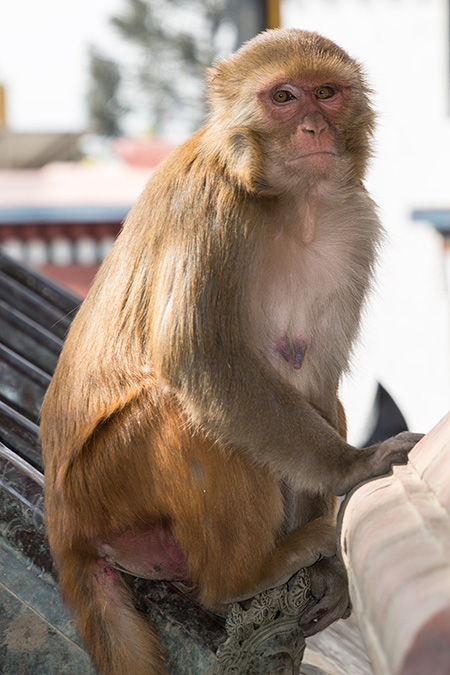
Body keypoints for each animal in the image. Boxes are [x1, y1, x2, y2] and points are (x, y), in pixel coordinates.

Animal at [39, 29, 422, 672]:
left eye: (326, 93)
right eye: (284, 97)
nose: (314, 128)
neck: (291, 202)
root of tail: (62, 522)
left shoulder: (353, 223)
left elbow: (316, 381)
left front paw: (334, 571)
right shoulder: (210, 204)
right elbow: (200, 359)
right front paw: (352, 466)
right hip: (107, 484)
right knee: (185, 411)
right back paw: (241, 577)